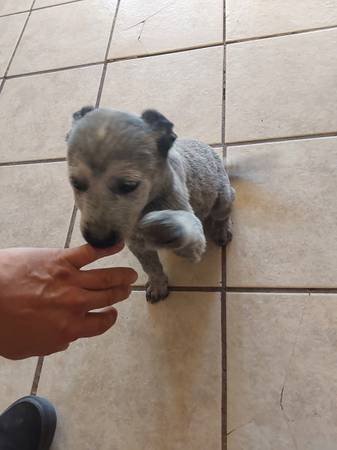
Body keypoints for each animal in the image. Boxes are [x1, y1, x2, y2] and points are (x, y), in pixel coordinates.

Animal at [65, 106, 234, 302]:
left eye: (128, 185)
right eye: (76, 183)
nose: (98, 241)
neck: (149, 203)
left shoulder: (195, 240)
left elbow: (183, 229)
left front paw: (162, 223)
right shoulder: (137, 246)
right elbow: (151, 267)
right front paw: (158, 285)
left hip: (223, 198)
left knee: (224, 214)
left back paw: (222, 230)